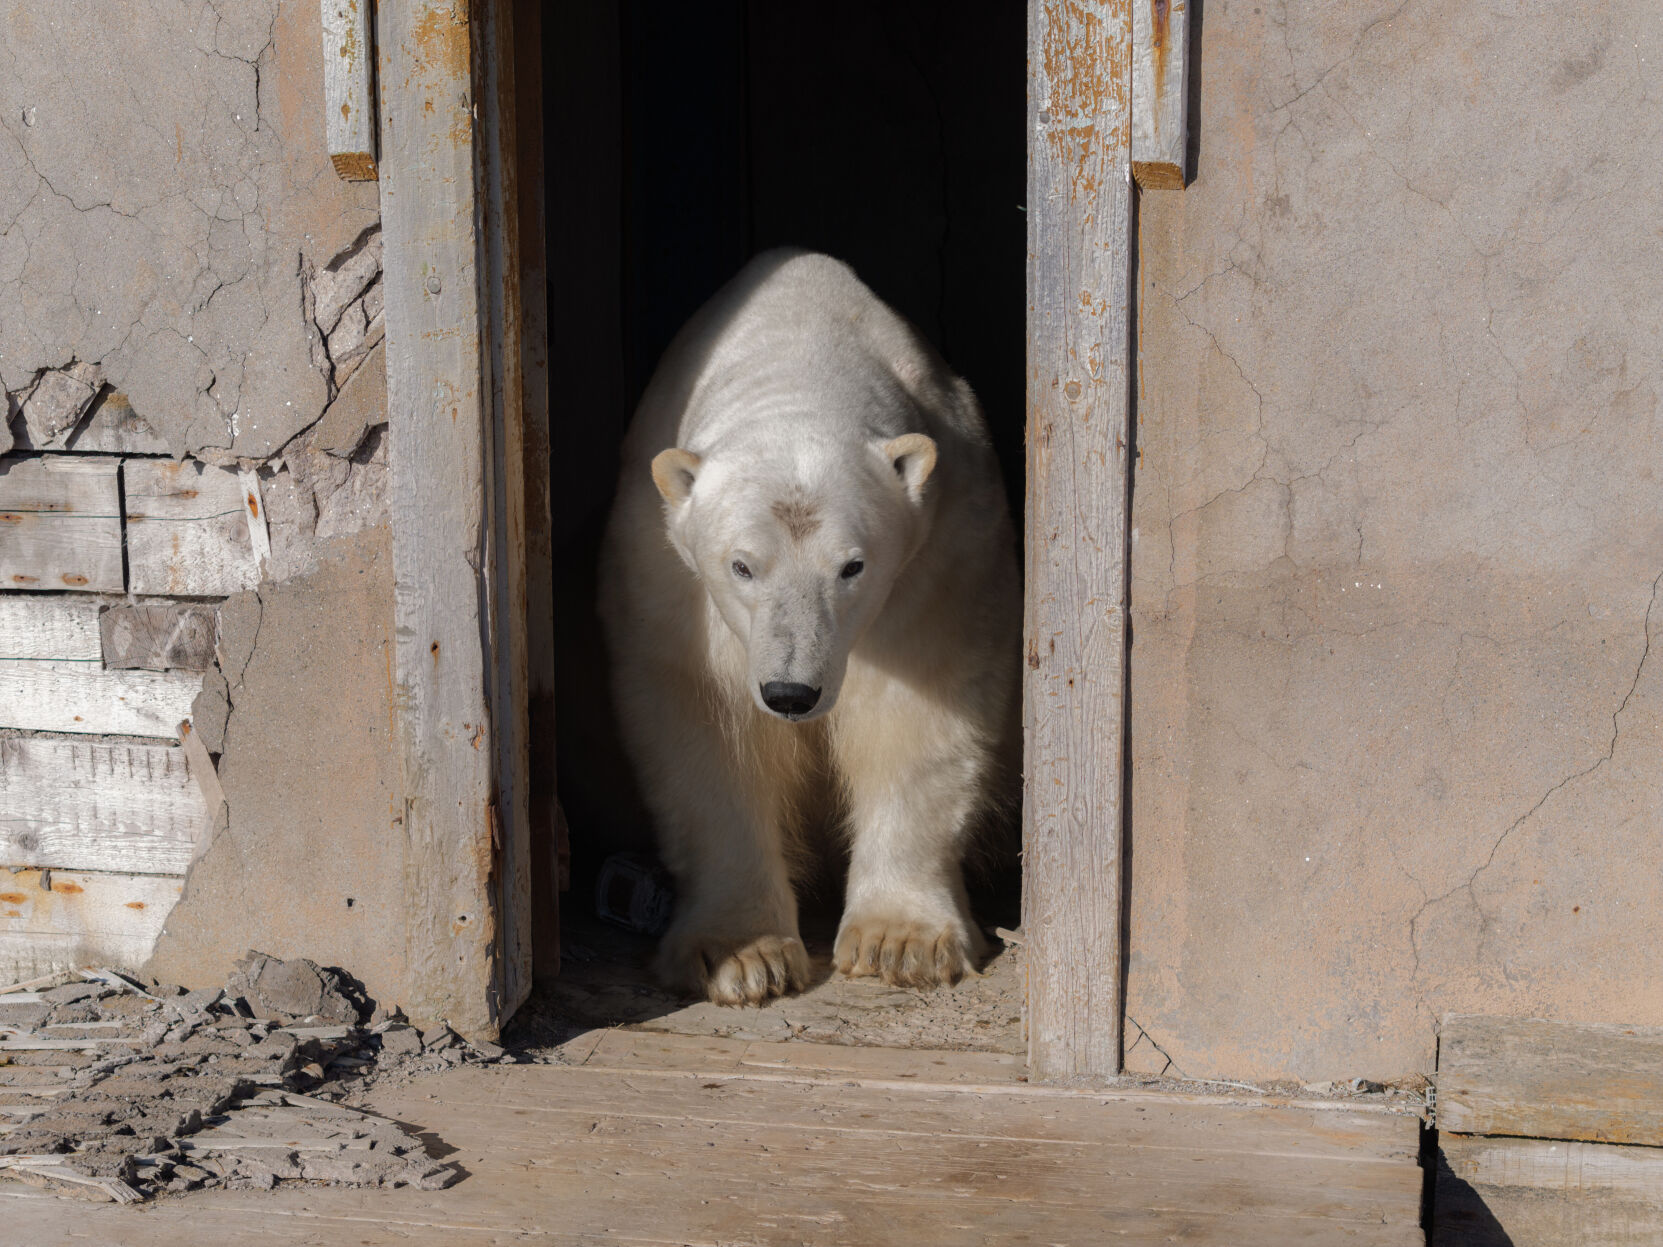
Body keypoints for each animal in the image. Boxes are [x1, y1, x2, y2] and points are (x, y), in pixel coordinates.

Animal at [598, 249, 1020, 1006]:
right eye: (741, 566)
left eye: (852, 566)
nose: (792, 693)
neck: (800, 351)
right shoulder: (666, 571)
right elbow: (708, 731)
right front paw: (739, 956)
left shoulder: (941, 550)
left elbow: (920, 712)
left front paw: (899, 942)